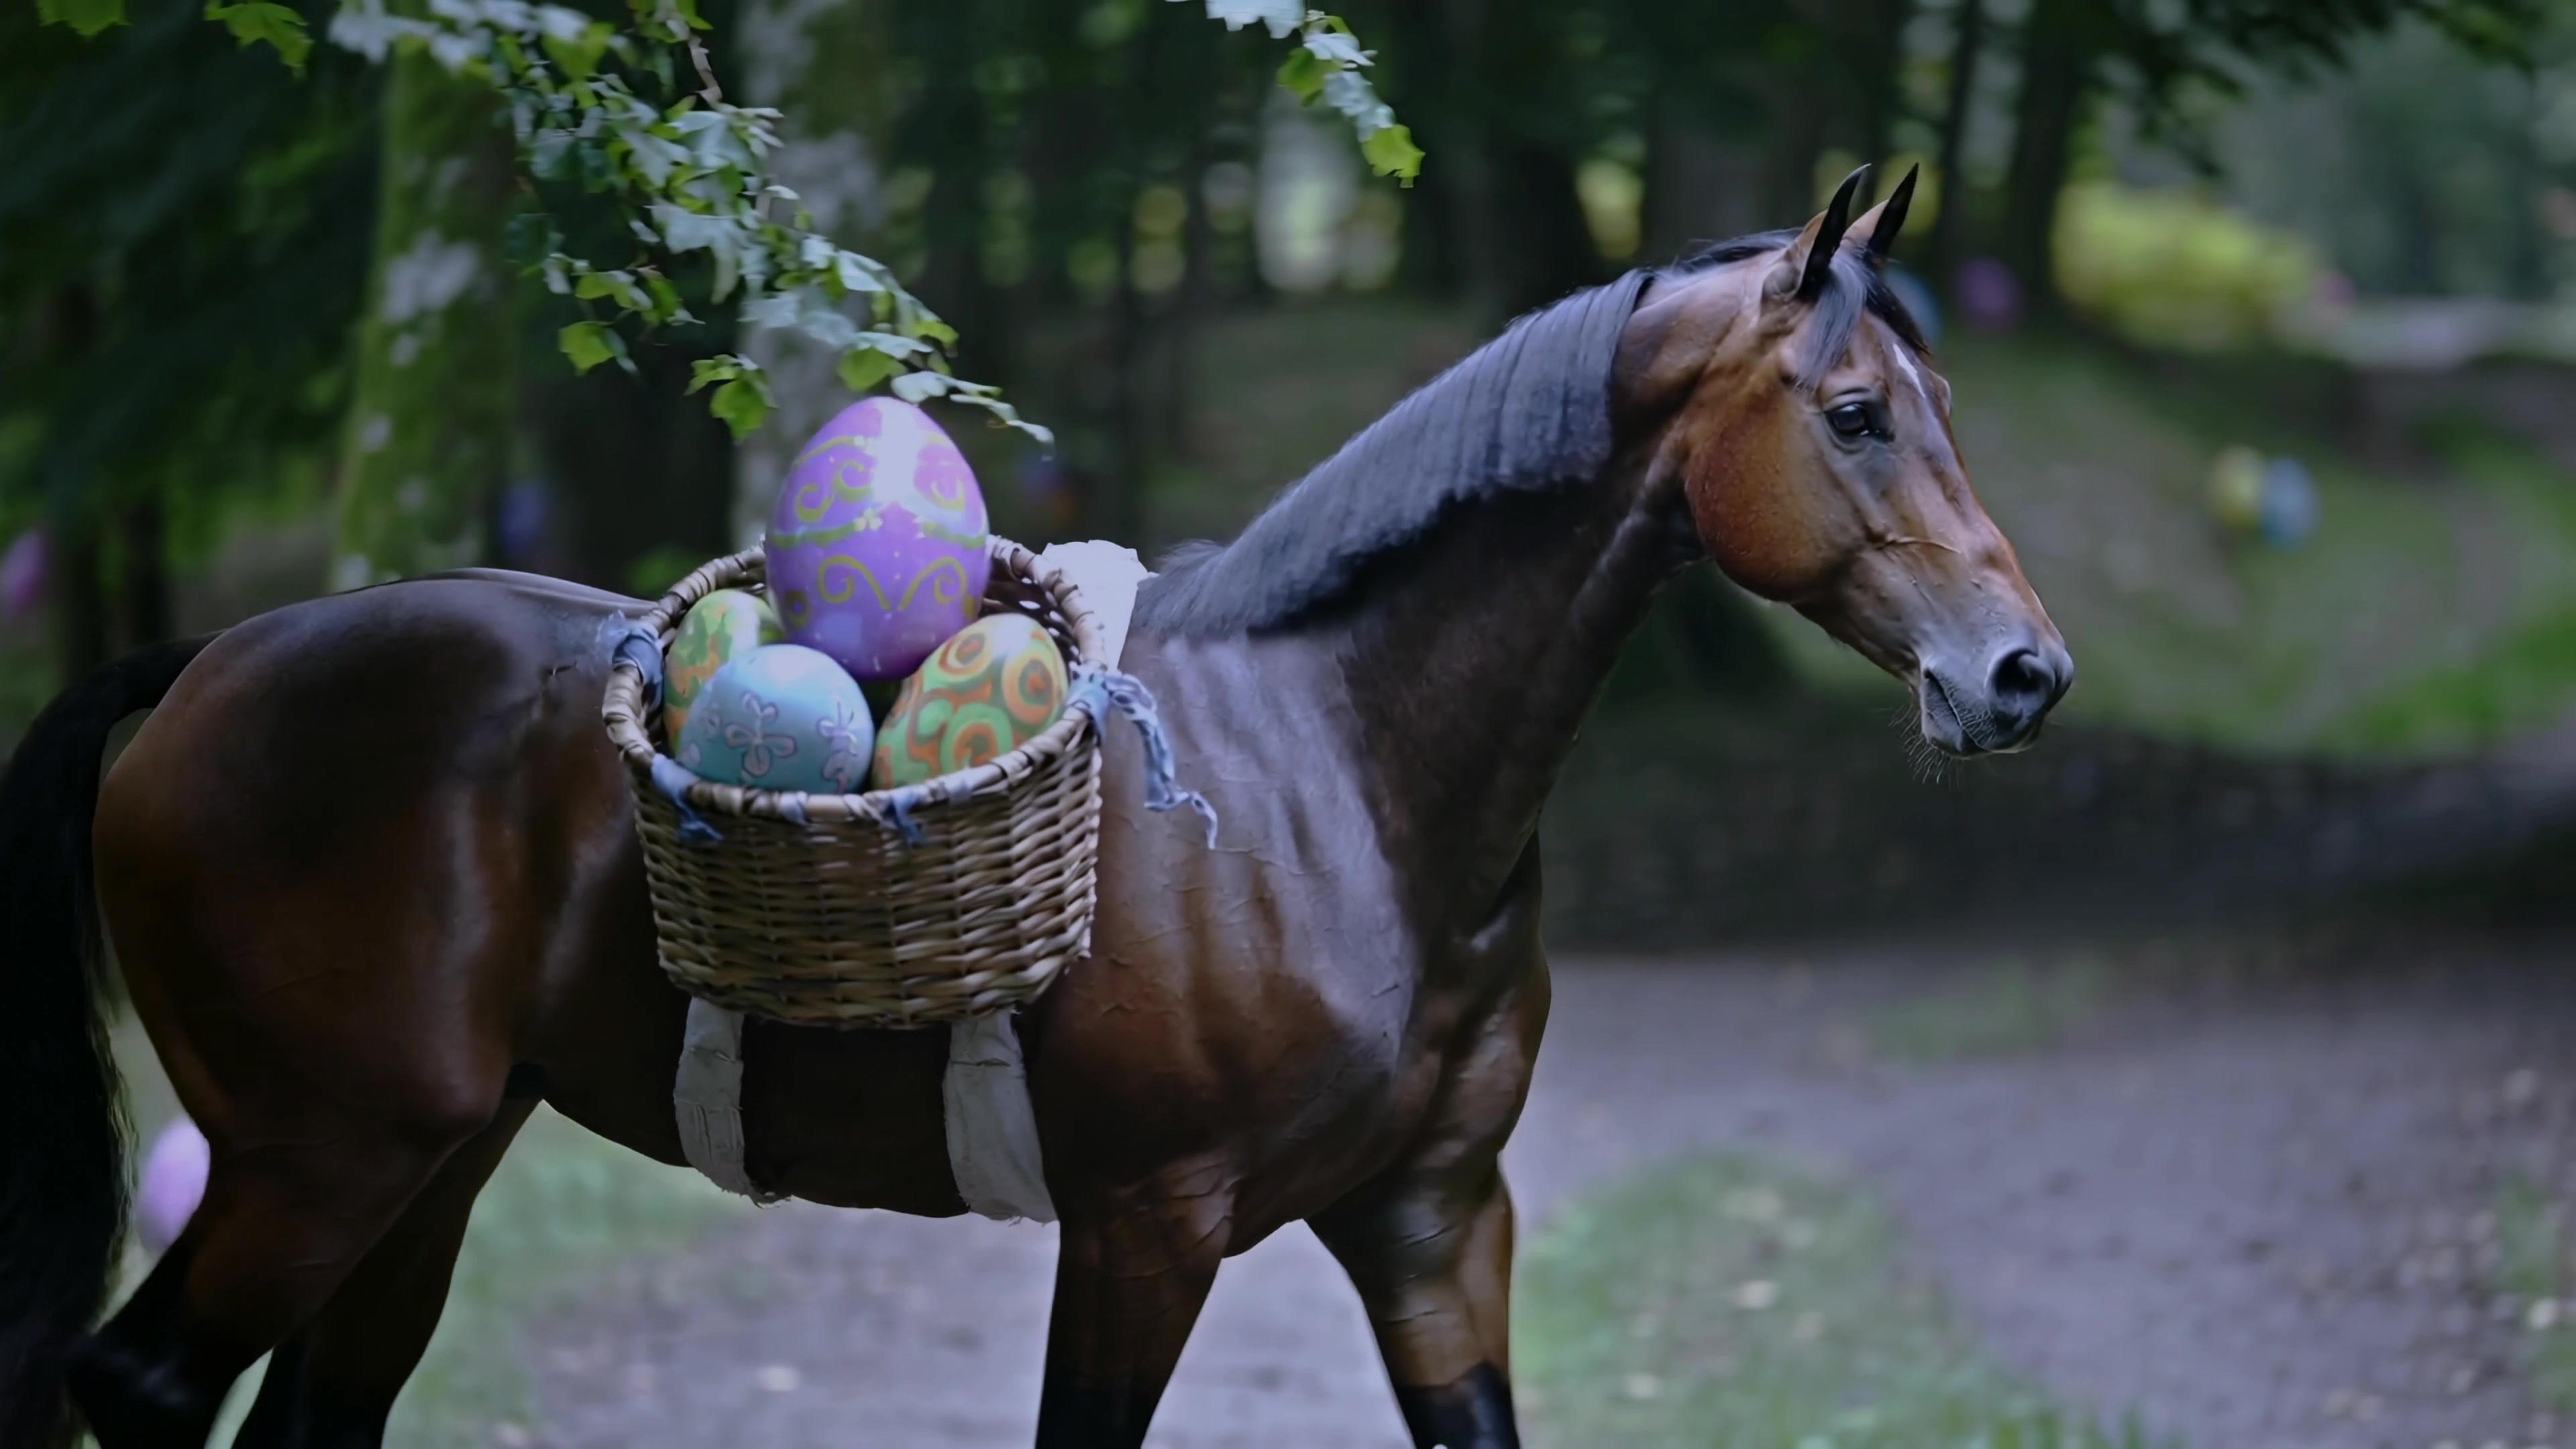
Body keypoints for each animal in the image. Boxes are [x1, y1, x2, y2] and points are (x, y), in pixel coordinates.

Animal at [0, 166, 2069, 1449]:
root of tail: (200, 665)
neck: (1339, 773)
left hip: (427, 1161)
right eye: (1860, 412)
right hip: (317, 1155)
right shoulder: (1148, 1226)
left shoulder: (1431, 1219)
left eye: (1951, 404)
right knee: (143, 1385)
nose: (2021, 673)